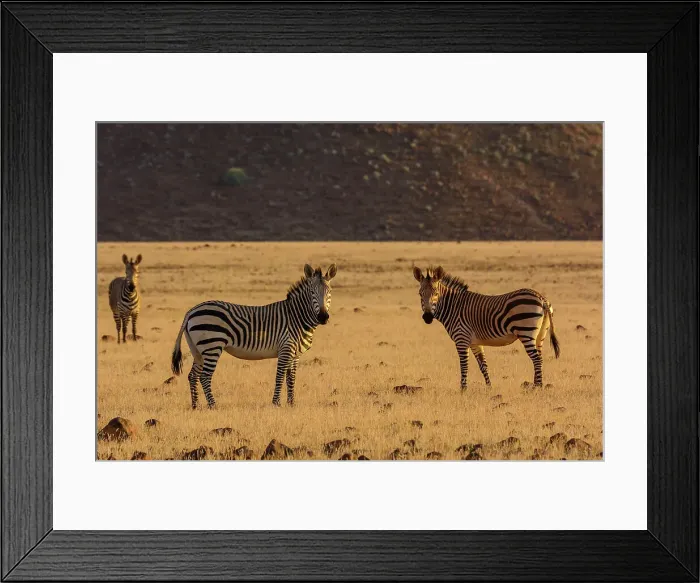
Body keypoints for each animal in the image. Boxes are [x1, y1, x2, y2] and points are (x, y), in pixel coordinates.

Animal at [171, 263, 337, 409]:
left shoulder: (295, 354)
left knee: (193, 375)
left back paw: (195, 406)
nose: (323, 317)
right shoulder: (285, 349)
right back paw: (213, 405)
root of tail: (191, 311)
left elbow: (291, 378)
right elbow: (280, 376)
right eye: (312, 293)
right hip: (212, 346)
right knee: (204, 376)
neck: (296, 317)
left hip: (197, 350)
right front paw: (276, 404)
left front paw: (291, 404)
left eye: (329, 292)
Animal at [413, 265, 560, 389]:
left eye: (436, 293)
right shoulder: (474, 342)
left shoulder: (461, 339)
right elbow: (483, 365)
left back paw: (537, 388)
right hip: (540, 334)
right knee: (539, 358)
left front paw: (463, 390)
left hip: (526, 332)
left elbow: (464, 365)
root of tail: (542, 299)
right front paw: (489, 388)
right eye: (420, 293)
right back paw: (536, 385)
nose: (427, 317)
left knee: (536, 359)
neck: (453, 307)